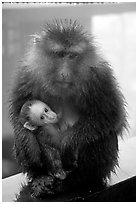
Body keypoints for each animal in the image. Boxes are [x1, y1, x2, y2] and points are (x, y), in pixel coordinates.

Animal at [8, 19, 127, 201]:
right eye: (58, 54)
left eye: (72, 56)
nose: (64, 73)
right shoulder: (27, 73)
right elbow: (18, 112)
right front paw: (28, 142)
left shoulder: (99, 77)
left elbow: (109, 116)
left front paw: (68, 144)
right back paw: (41, 177)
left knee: (102, 137)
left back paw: (76, 181)